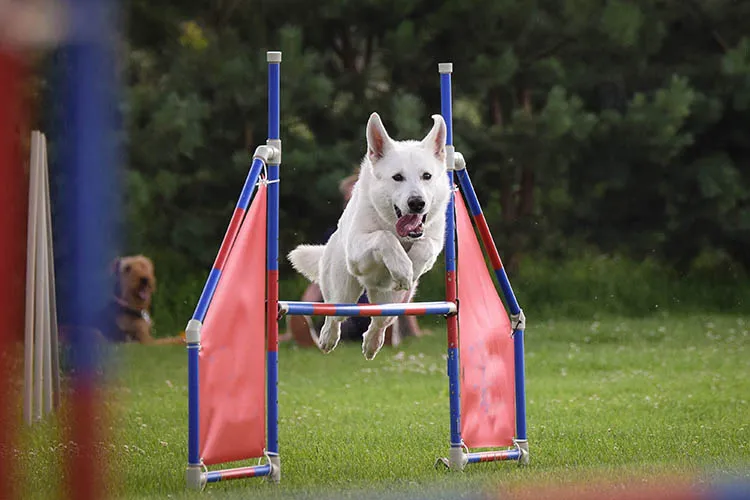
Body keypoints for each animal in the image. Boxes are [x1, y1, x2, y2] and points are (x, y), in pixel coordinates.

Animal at [290, 112, 450, 360]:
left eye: (427, 176)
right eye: (397, 177)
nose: (417, 203)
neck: (396, 226)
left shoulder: (432, 241)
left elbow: (423, 246)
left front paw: (411, 268)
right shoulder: (358, 251)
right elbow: (383, 237)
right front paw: (403, 267)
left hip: (393, 303)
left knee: (378, 322)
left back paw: (372, 344)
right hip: (343, 291)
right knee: (335, 315)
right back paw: (327, 338)